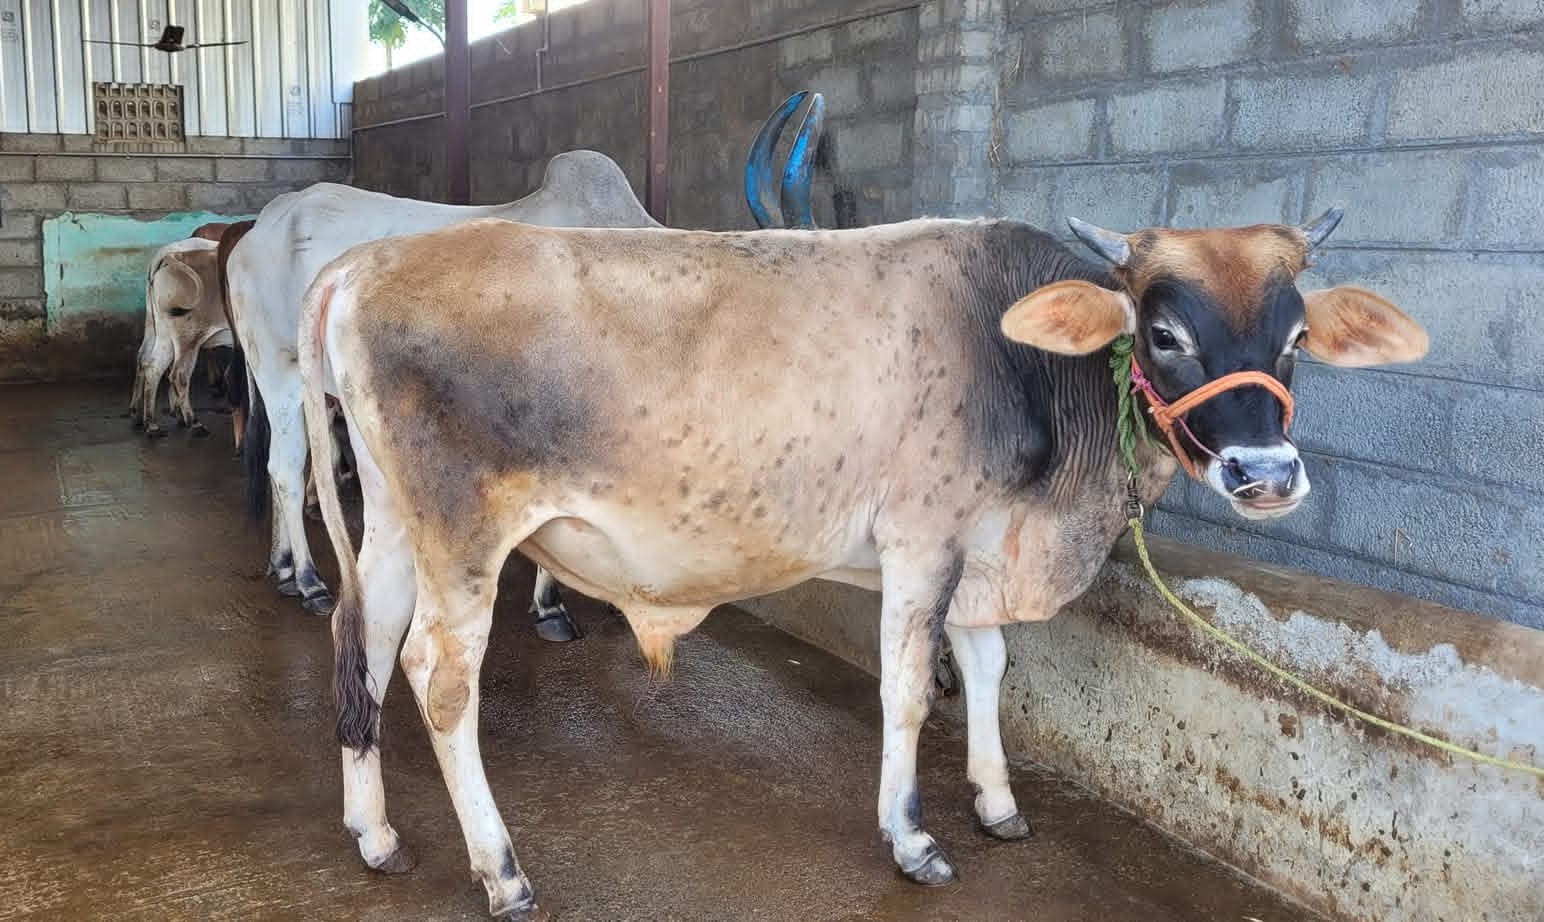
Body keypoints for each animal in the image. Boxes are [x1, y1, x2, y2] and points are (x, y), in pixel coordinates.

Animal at [129, 237, 232, 437]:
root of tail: (171, 256)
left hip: (160, 332)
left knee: (149, 364)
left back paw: (149, 422)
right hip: (188, 336)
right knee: (178, 374)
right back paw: (192, 422)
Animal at [297, 209, 1428, 917]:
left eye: (1294, 338)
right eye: (1162, 331)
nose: (1264, 472)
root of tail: (366, 261)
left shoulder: (977, 543)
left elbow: (987, 670)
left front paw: (996, 804)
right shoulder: (921, 540)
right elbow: (908, 690)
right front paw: (914, 839)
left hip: (395, 527)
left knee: (365, 640)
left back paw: (373, 832)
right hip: (464, 536)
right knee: (439, 679)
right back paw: (501, 871)